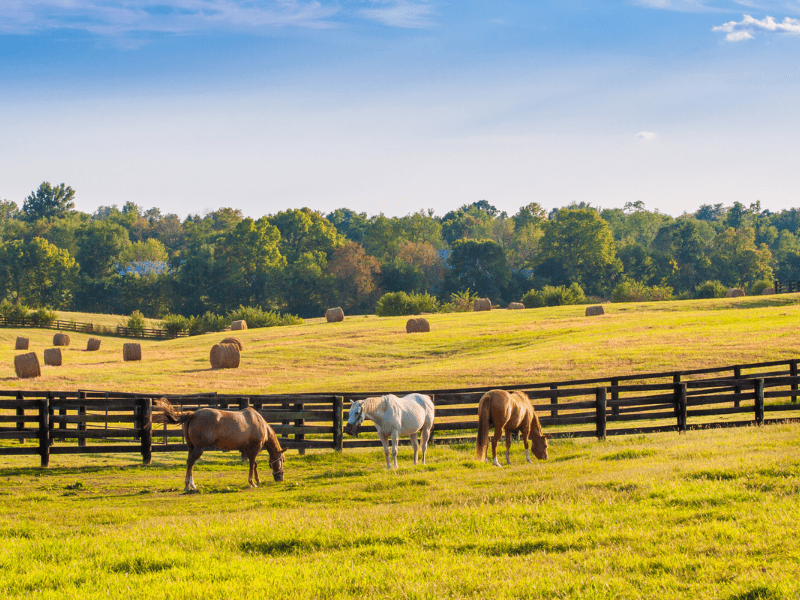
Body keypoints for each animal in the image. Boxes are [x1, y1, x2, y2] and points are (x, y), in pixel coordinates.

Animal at [152, 398, 286, 492]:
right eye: (282, 460)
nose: (280, 478)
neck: (259, 422)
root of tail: (193, 414)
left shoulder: (248, 449)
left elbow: (254, 465)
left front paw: (258, 480)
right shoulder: (254, 448)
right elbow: (252, 464)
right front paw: (252, 482)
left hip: (191, 447)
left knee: (189, 462)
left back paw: (192, 485)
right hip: (199, 448)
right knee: (191, 462)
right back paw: (188, 485)